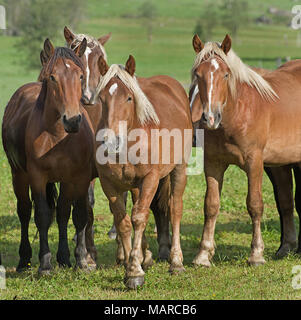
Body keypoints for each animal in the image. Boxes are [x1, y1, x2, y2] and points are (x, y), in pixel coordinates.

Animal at [1, 38, 95, 274]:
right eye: (52, 77)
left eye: (81, 76)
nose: (72, 120)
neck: (58, 137)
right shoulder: (37, 177)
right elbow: (42, 215)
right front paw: (45, 264)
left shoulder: (76, 178)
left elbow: (72, 214)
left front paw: (77, 260)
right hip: (19, 175)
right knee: (25, 211)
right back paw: (24, 260)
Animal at [94, 53, 192, 288]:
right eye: (102, 98)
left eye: (129, 98)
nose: (111, 140)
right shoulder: (109, 184)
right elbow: (123, 222)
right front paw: (132, 265)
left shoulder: (150, 179)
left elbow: (138, 218)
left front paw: (135, 271)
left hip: (179, 168)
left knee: (175, 209)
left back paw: (176, 262)